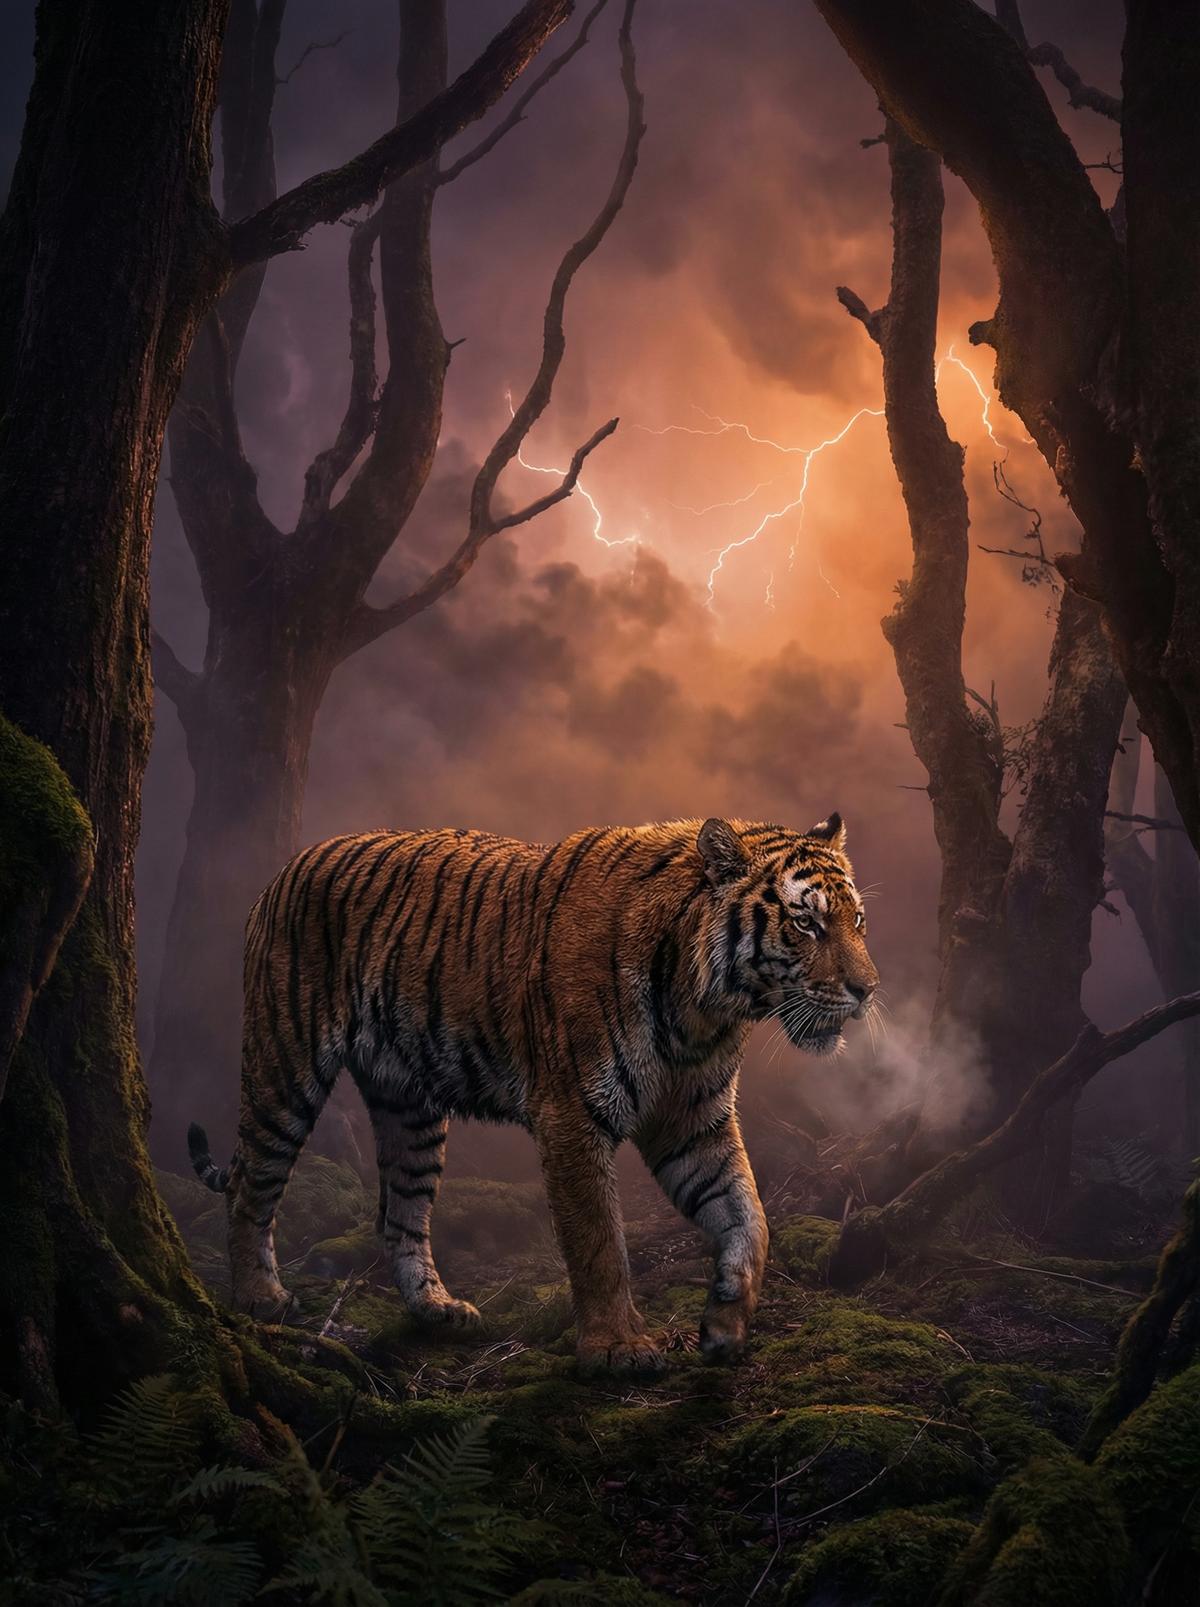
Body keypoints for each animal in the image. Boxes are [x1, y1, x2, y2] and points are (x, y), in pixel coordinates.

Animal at [187, 813, 878, 1375]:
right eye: (806, 922)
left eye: (857, 920)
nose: (868, 990)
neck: (708, 1009)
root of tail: (292, 863)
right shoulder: (573, 1113)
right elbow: (599, 1242)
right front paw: (617, 1349)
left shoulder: (692, 1119)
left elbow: (749, 1217)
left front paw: (726, 1325)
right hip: (285, 1063)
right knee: (250, 1182)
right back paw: (259, 1298)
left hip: (411, 1107)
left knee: (399, 1214)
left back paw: (437, 1309)